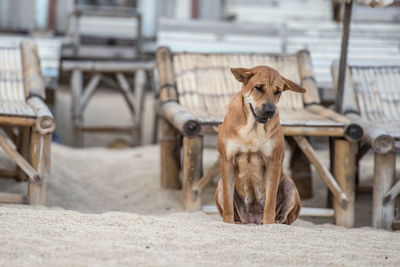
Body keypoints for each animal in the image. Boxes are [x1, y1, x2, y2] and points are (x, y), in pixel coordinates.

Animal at [217, 66, 304, 225]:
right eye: (258, 88)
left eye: (278, 91)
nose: (270, 110)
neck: (252, 128)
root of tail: (252, 219)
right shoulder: (227, 160)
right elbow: (227, 202)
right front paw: (228, 222)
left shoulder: (273, 162)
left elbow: (270, 200)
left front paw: (268, 222)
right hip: (220, 183)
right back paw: (237, 221)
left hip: (289, 185)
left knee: (285, 218)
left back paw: (275, 221)